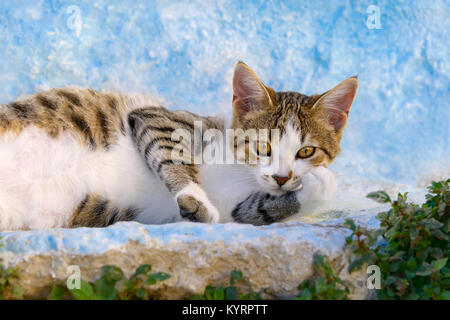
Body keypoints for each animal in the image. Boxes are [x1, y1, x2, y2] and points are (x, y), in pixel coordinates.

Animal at [0, 60, 358, 230]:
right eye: (262, 146)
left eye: (306, 151)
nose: (283, 177)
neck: (238, 168)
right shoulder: (157, 118)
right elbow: (171, 154)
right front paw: (194, 197)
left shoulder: (235, 212)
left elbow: (256, 210)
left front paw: (321, 182)